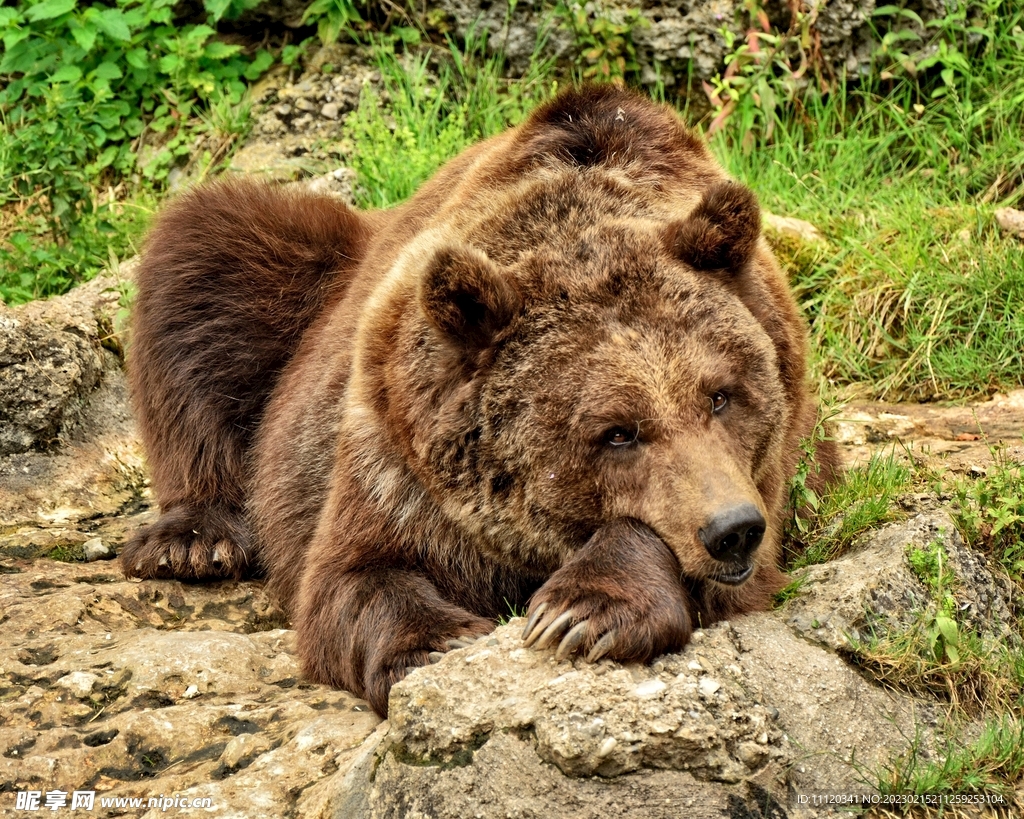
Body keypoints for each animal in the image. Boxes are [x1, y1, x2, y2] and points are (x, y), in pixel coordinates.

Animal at [119, 84, 839, 716]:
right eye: (616, 432)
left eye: (721, 395)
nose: (731, 530)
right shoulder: (395, 459)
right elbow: (351, 579)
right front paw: (435, 643)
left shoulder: (773, 477)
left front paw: (580, 613)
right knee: (205, 249)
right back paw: (194, 540)